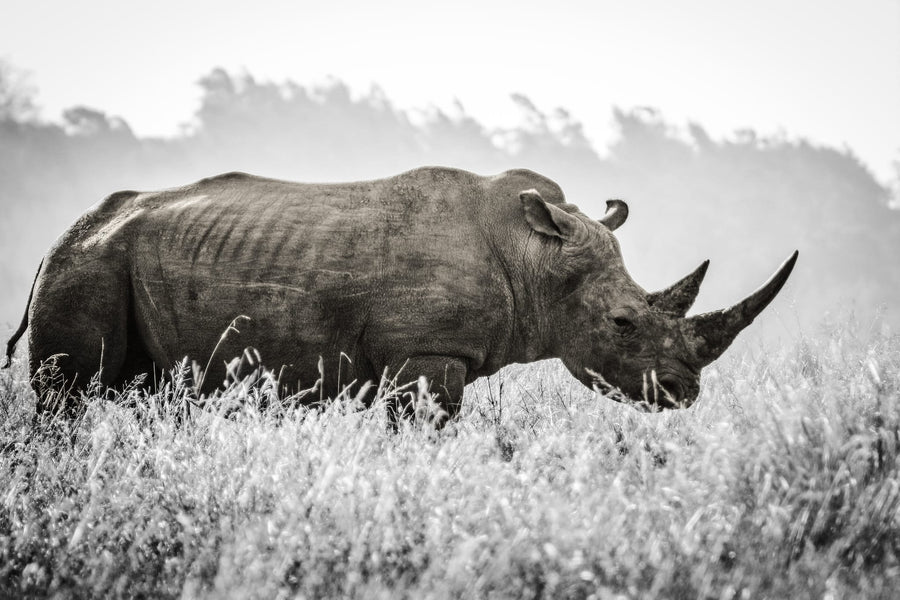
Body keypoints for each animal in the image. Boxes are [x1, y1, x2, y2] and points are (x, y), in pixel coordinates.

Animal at [4, 167, 797, 421]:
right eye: (625, 323)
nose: (684, 393)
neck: (536, 259)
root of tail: (61, 238)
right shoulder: (427, 353)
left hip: (111, 261)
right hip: (85, 266)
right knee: (70, 398)